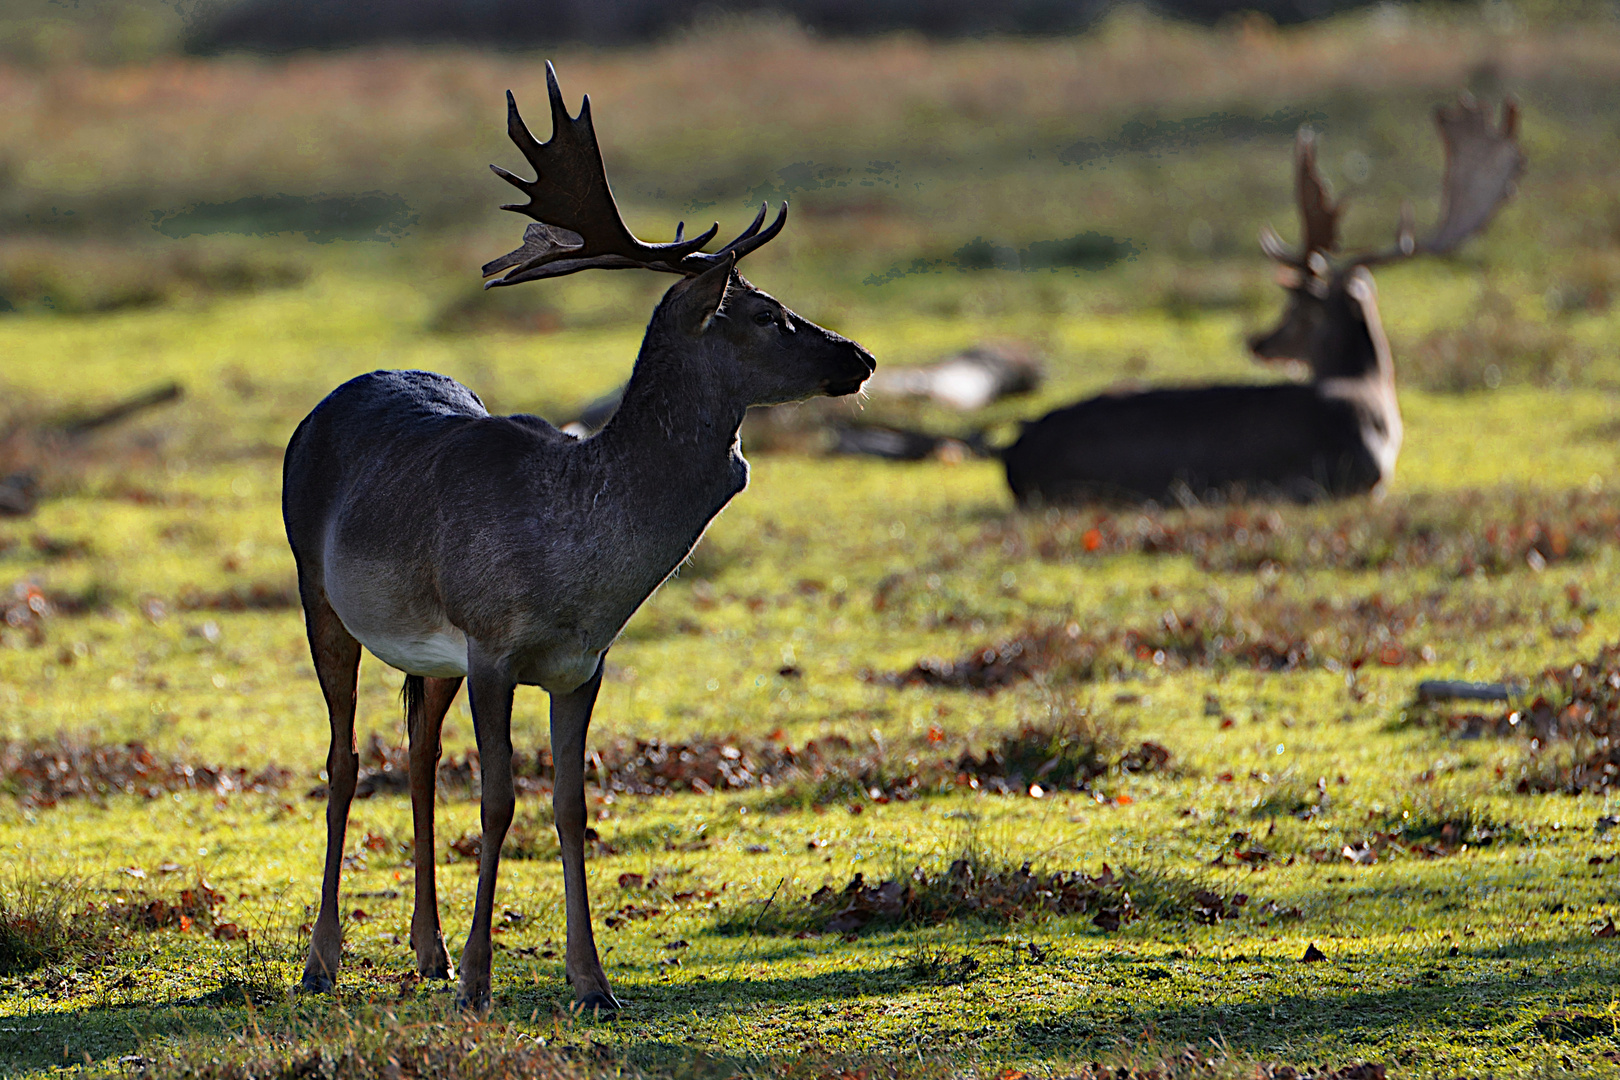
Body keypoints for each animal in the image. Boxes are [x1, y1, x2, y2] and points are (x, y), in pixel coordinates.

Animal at [285, 65, 881, 1016]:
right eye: (765, 313)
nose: (859, 358)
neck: (579, 563)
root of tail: (319, 408)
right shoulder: (491, 643)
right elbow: (498, 802)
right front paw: (482, 983)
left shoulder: (580, 662)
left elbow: (570, 804)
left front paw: (592, 982)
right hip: (318, 591)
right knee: (343, 762)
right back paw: (323, 959)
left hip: (427, 652)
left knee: (416, 755)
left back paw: (428, 951)